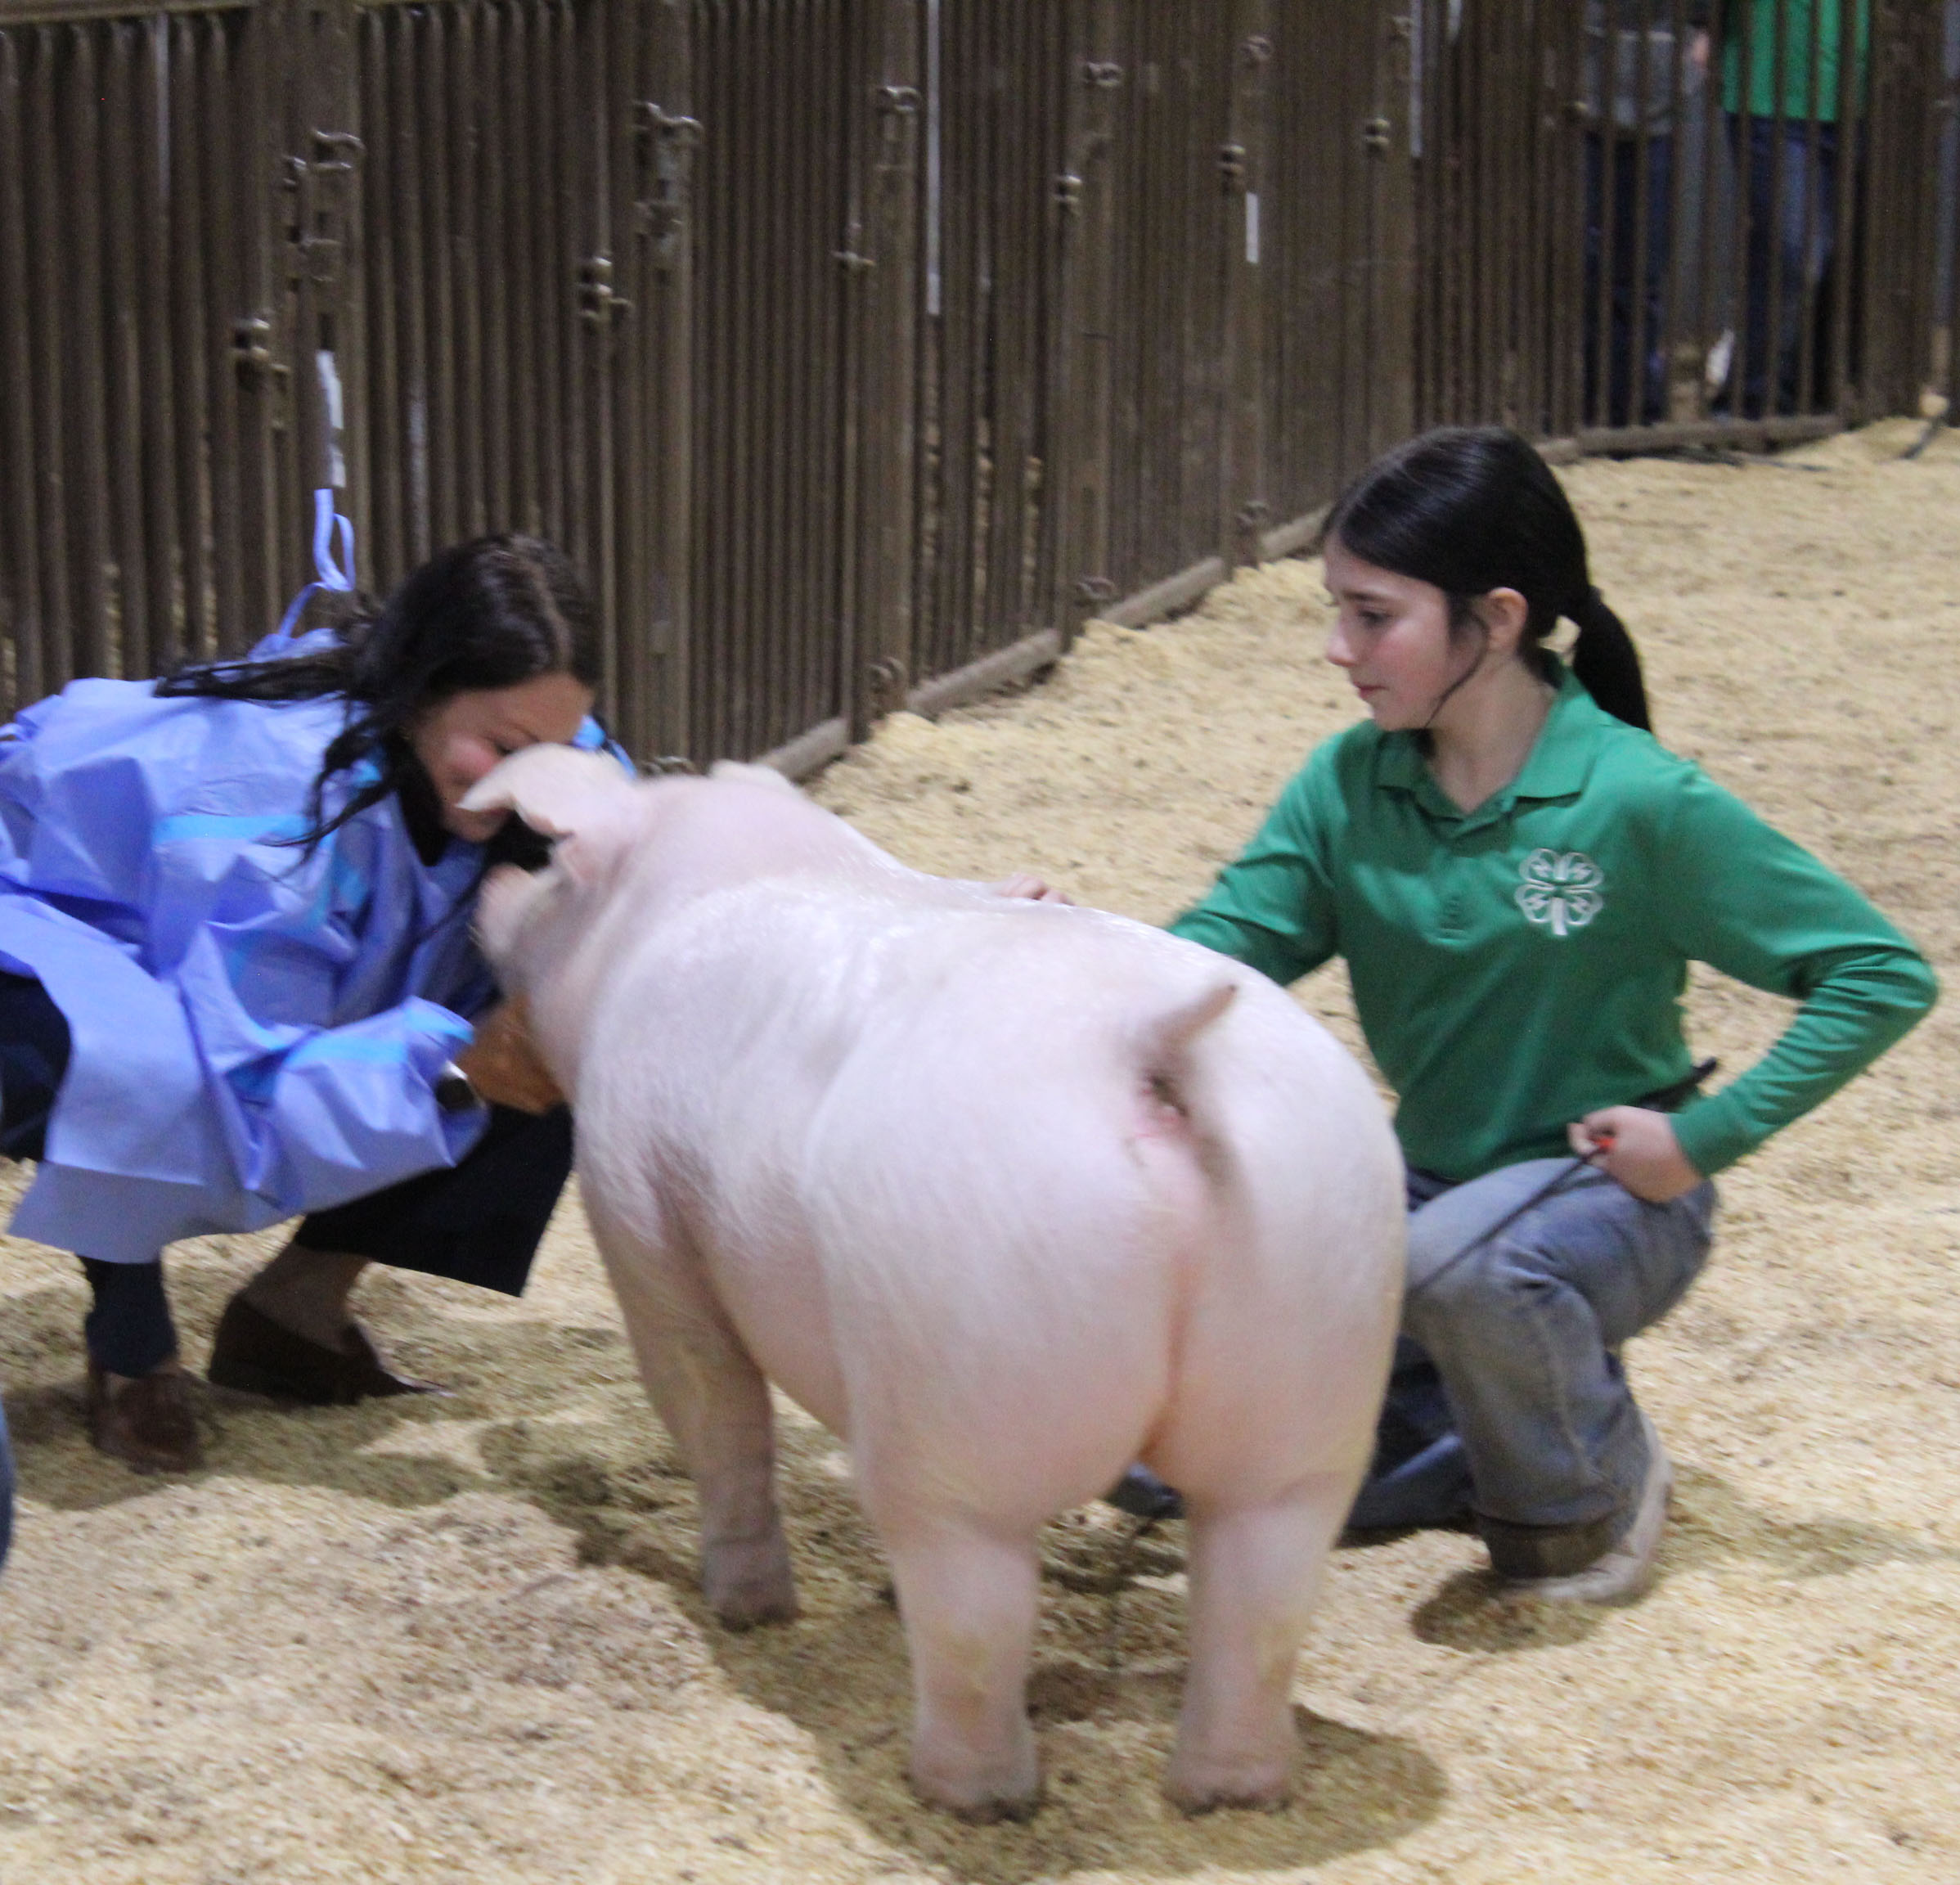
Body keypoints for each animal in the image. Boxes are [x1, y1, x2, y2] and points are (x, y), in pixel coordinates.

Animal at [461, 747, 1404, 1820]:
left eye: (550, 870)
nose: (491, 878)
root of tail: (1143, 1045)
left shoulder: (640, 1227)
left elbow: (717, 1419)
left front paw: (749, 1611)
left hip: (960, 1383)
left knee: (972, 1607)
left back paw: (961, 1792)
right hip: (1313, 1346)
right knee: (1261, 1588)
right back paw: (1228, 1793)